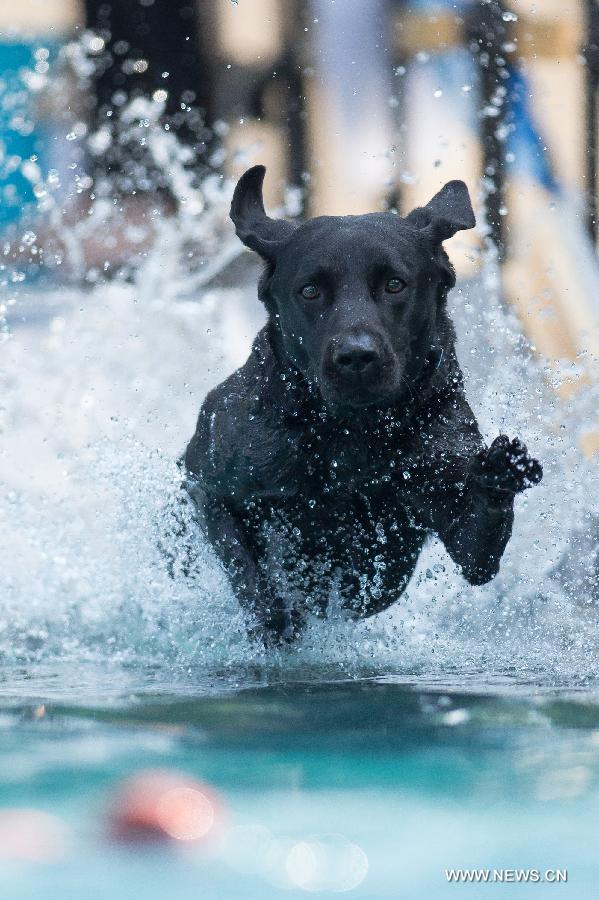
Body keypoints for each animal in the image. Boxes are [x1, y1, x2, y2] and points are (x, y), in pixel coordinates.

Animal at [184, 165, 544, 644]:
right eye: (310, 291)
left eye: (394, 284)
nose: (356, 355)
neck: (351, 437)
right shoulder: (209, 485)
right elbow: (248, 572)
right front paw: (277, 620)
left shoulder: (454, 518)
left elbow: (478, 543)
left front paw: (502, 471)